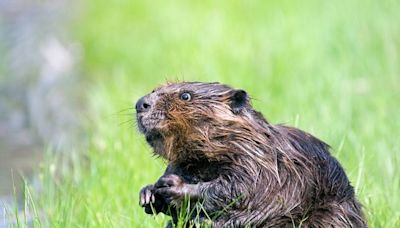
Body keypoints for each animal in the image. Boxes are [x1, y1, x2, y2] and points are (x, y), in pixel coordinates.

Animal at [136, 82, 368, 228]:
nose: (141, 103)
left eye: (185, 95)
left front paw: (173, 186)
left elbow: (238, 189)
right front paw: (148, 193)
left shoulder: (259, 162)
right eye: (155, 89)